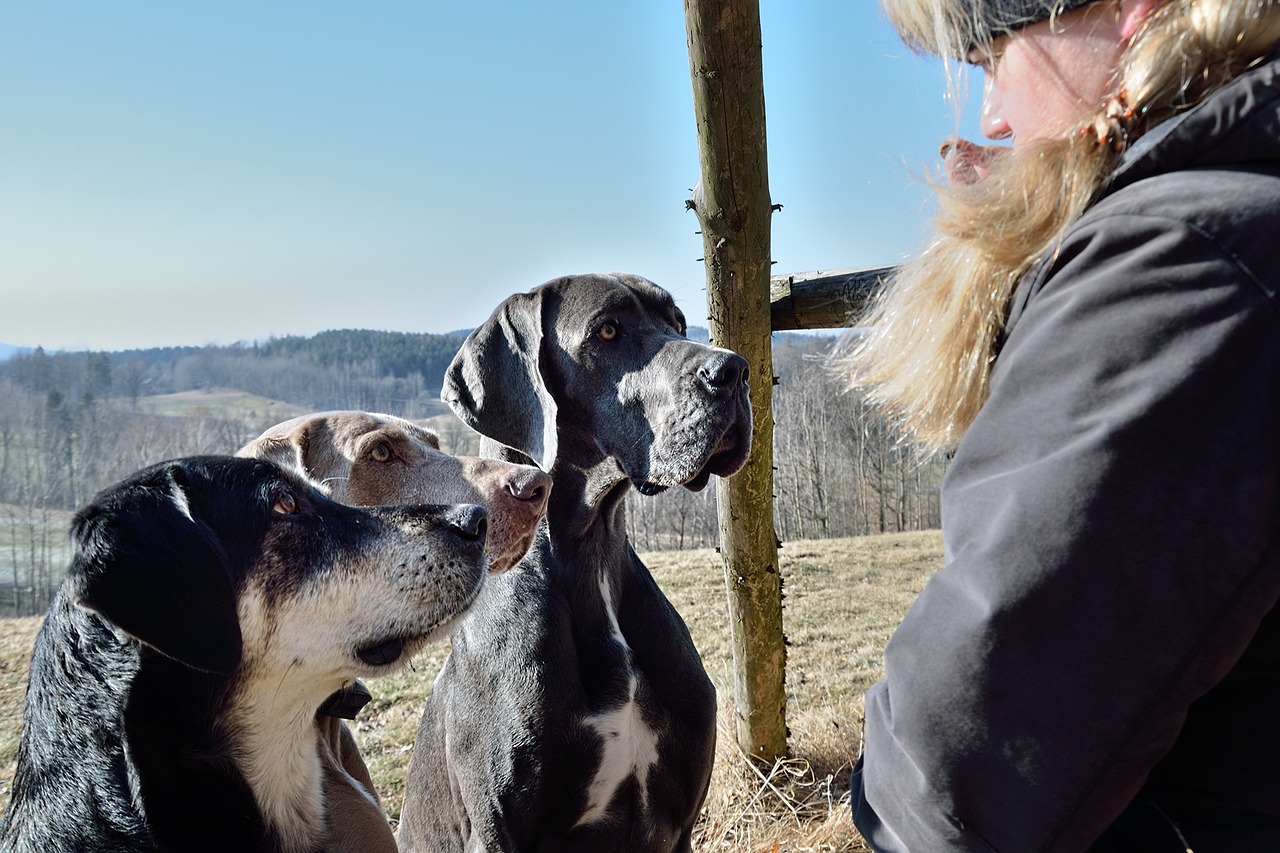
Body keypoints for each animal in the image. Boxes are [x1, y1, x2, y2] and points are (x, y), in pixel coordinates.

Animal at [399, 274, 752, 850]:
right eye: (606, 331)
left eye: (677, 323)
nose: (736, 370)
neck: (591, 555)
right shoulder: (496, 831)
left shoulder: (680, 821)